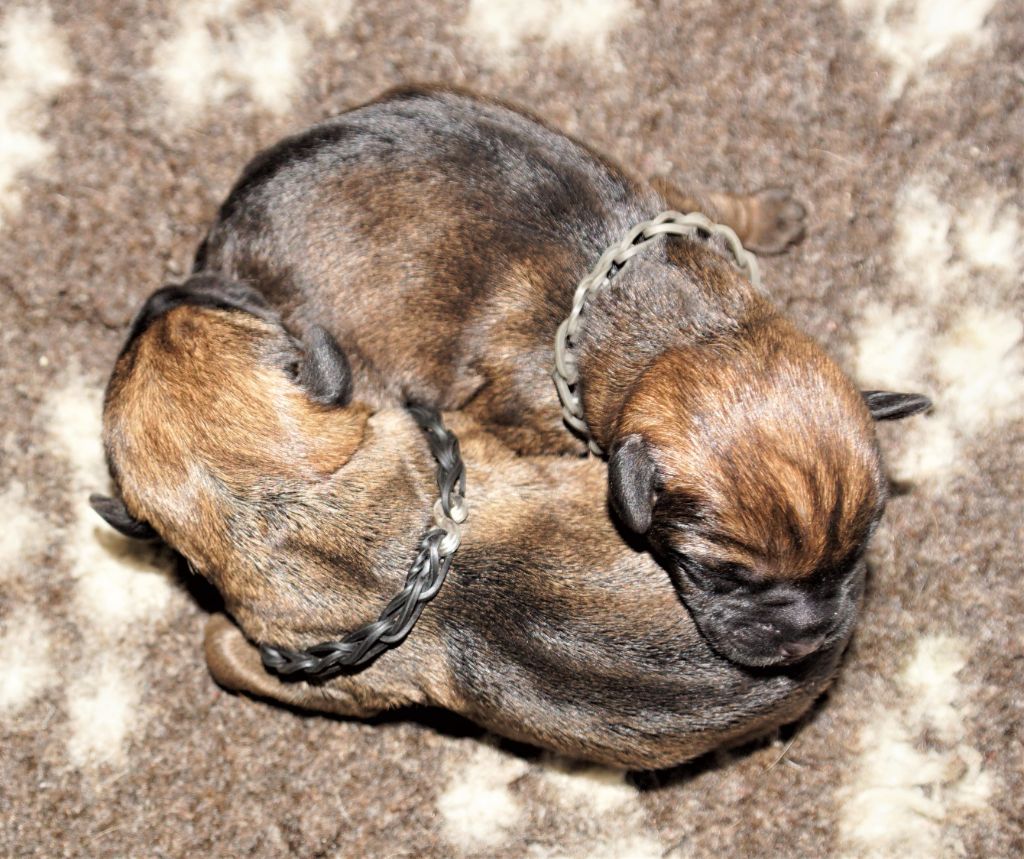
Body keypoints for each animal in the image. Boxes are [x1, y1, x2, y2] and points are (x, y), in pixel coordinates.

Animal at [195, 87, 933, 667]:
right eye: (714, 571)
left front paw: (772, 216)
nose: (807, 639)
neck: (689, 326)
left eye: (860, 547)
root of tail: (220, 239)